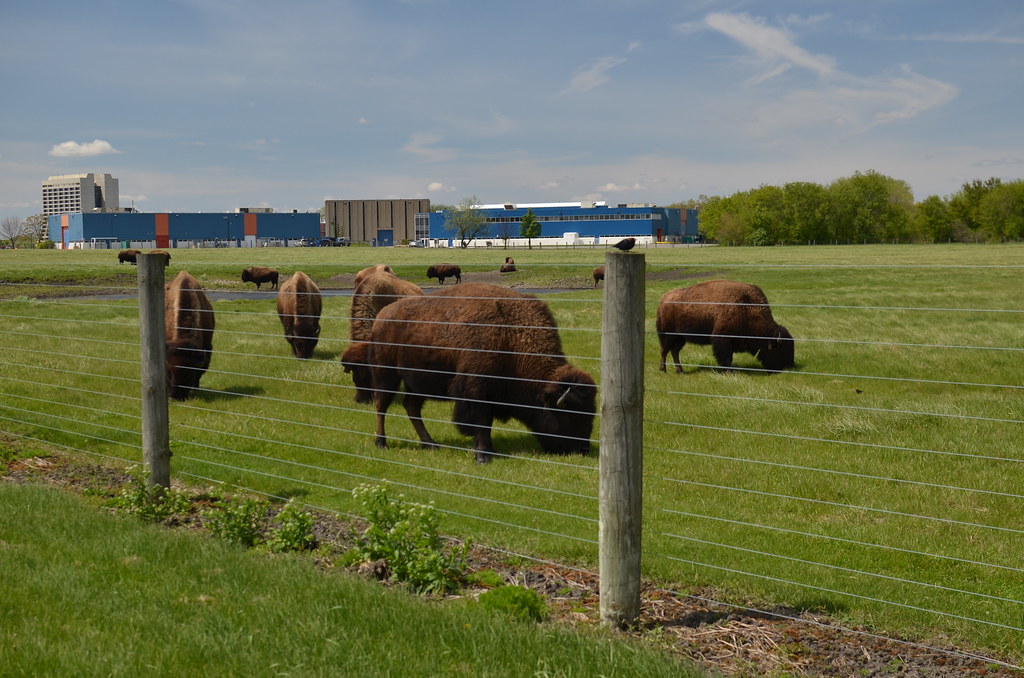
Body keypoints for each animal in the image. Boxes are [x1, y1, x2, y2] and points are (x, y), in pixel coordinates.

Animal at [342, 283, 596, 464]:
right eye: (569, 415)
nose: (583, 449)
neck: (511, 336)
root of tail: (382, 316)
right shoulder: (474, 389)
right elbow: (480, 421)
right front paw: (483, 455)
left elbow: (487, 422)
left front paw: (490, 450)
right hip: (386, 374)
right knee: (381, 404)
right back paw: (381, 442)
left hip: (417, 383)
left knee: (411, 407)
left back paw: (430, 443)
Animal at [656, 280, 794, 373]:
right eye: (782, 349)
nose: (790, 366)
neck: (747, 308)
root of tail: (663, 299)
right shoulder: (723, 339)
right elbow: (727, 358)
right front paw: (728, 371)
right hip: (668, 335)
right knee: (664, 350)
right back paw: (663, 369)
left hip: (681, 338)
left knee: (674, 351)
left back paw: (680, 370)